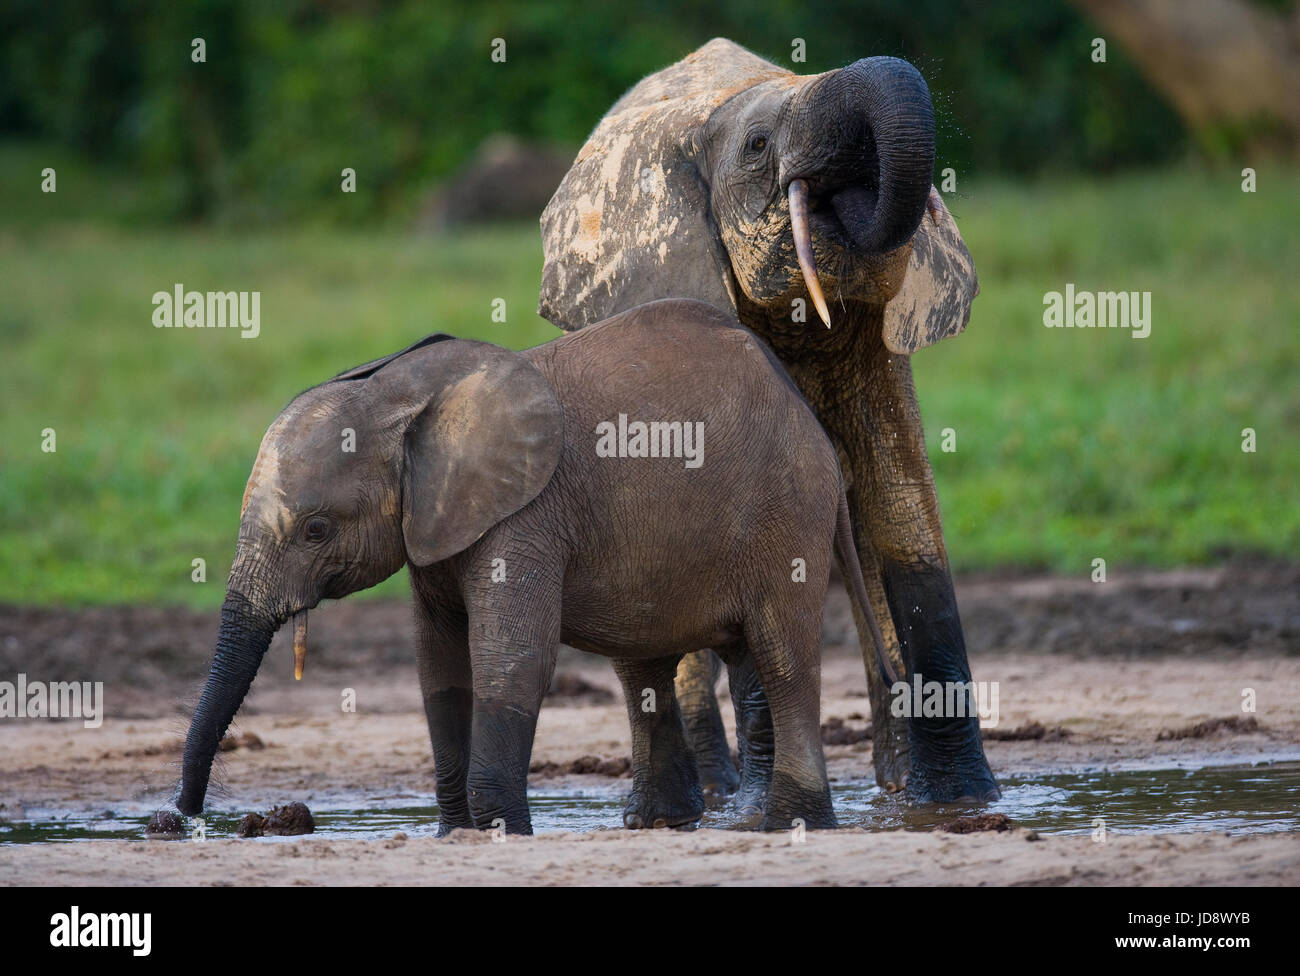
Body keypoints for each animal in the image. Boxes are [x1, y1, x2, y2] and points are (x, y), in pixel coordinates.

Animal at [175, 298, 895, 833]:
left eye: (316, 529)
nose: (182, 816)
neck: (397, 390)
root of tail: (803, 409)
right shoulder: (435, 526)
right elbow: (439, 667)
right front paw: (454, 833)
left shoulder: (526, 514)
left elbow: (512, 657)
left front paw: (501, 832)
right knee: (646, 665)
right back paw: (662, 823)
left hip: (789, 510)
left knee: (782, 654)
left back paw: (794, 824)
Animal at [539, 38, 999, 803]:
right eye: (758, 146)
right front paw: (760, 802)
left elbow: (903, 510)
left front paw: (963, 800)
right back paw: (723, 793)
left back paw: (894, 786)